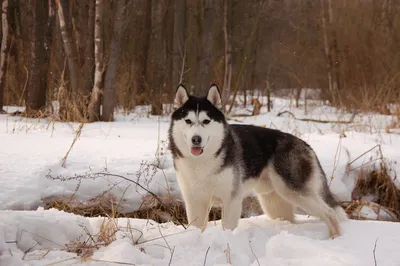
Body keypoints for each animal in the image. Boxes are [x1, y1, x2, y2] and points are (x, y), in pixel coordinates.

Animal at [169, 84, 346, 238]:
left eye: (206, 121)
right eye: (188, 121)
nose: (196, 139)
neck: (202, 161)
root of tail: (305, 145)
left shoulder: (231, 200)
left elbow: (228, 227)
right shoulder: (194, 202)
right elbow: (196, 227)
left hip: (294, 192)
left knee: (330, 212)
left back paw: (334, 238)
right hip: (274, 203)